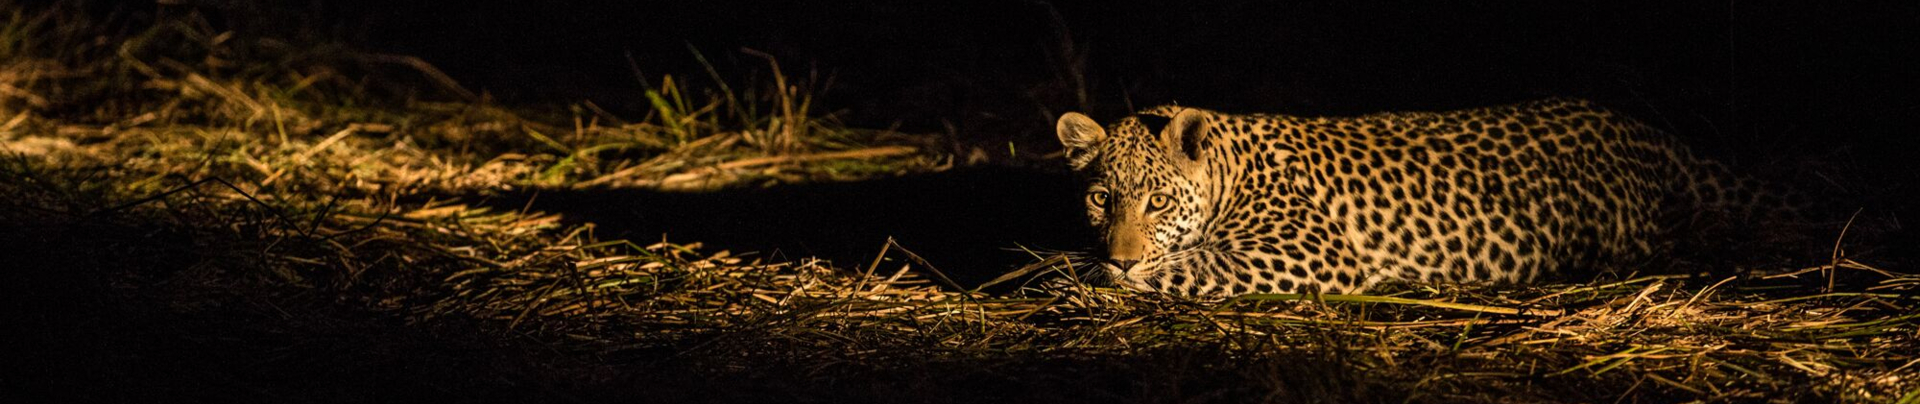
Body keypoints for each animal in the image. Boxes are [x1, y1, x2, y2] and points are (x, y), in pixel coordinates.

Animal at [1055, 98, 1787, 296]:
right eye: (1100, 199)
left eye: (1156, 202)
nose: (1119, 256)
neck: (1229, 170)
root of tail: (1642, 128)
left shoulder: (1311, 251)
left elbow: (1194, 264)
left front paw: (1084, 278)